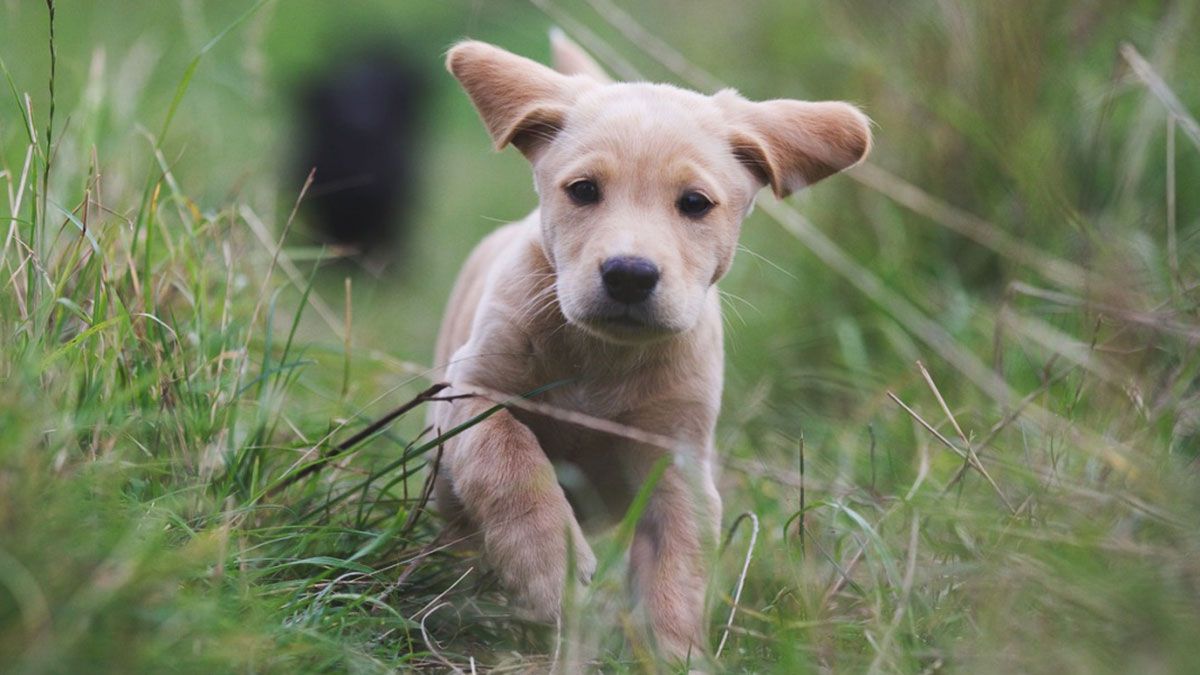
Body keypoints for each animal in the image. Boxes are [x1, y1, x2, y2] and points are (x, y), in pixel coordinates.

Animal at [434, 35, 873, 658]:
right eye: (584, 191)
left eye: (694, 203)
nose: (629, 274)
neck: (602, 358)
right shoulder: (469, 392)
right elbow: (508, 457)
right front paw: (550, 568)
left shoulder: (677, 465)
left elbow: (678, 571)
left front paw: (674, 654)